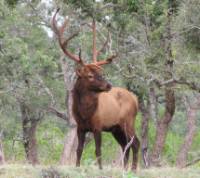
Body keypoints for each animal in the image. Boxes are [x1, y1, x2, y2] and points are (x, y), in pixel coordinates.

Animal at [51, 9, 139, 170]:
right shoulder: (80, 127)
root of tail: (136, 99)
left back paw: (134, 169)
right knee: (125, 146)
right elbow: (79, 150)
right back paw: (125, 168)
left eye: (101, 73)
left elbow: (98, 150)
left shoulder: (98, 125)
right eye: (90, 75)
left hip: (128, 121)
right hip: (116, 128)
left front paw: (100, 168)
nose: (108, 85)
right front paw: (77, 167)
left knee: (136, 143)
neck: (85, 113)